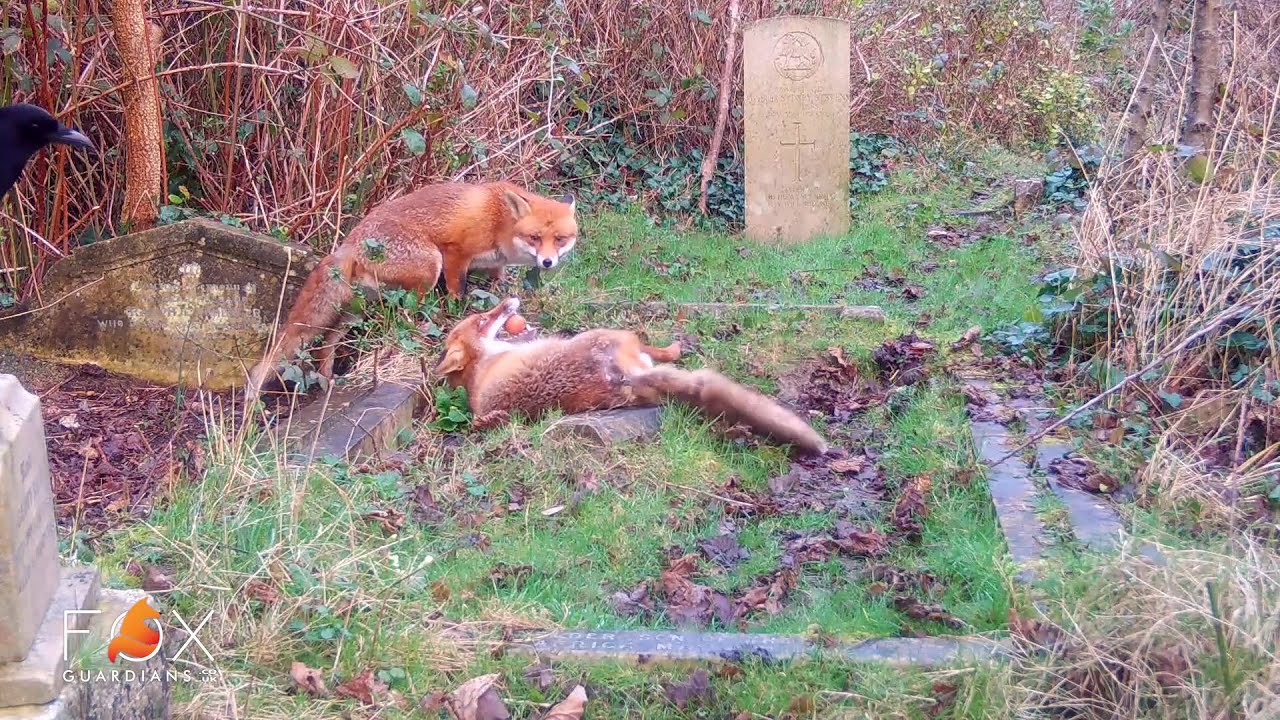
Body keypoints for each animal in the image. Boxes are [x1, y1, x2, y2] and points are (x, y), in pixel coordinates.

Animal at [244, 181, 578, 409]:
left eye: (560, 239)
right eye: (535, 238)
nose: (547, 263)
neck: (499, 221)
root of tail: (351, 242)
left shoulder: (493, 265)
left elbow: (496, 283)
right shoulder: (456, 254)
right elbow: (456, 294)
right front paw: (459, 317)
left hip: (360, 306)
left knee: (328, 340)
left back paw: (328, 379)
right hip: (429, 267)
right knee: (407, 313)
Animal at [434, 297, 830, 456]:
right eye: (483, 320)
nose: (511, 301)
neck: (482, 368)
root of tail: (619, 379)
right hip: (619, 336)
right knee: (659, 351)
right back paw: (675, 346)